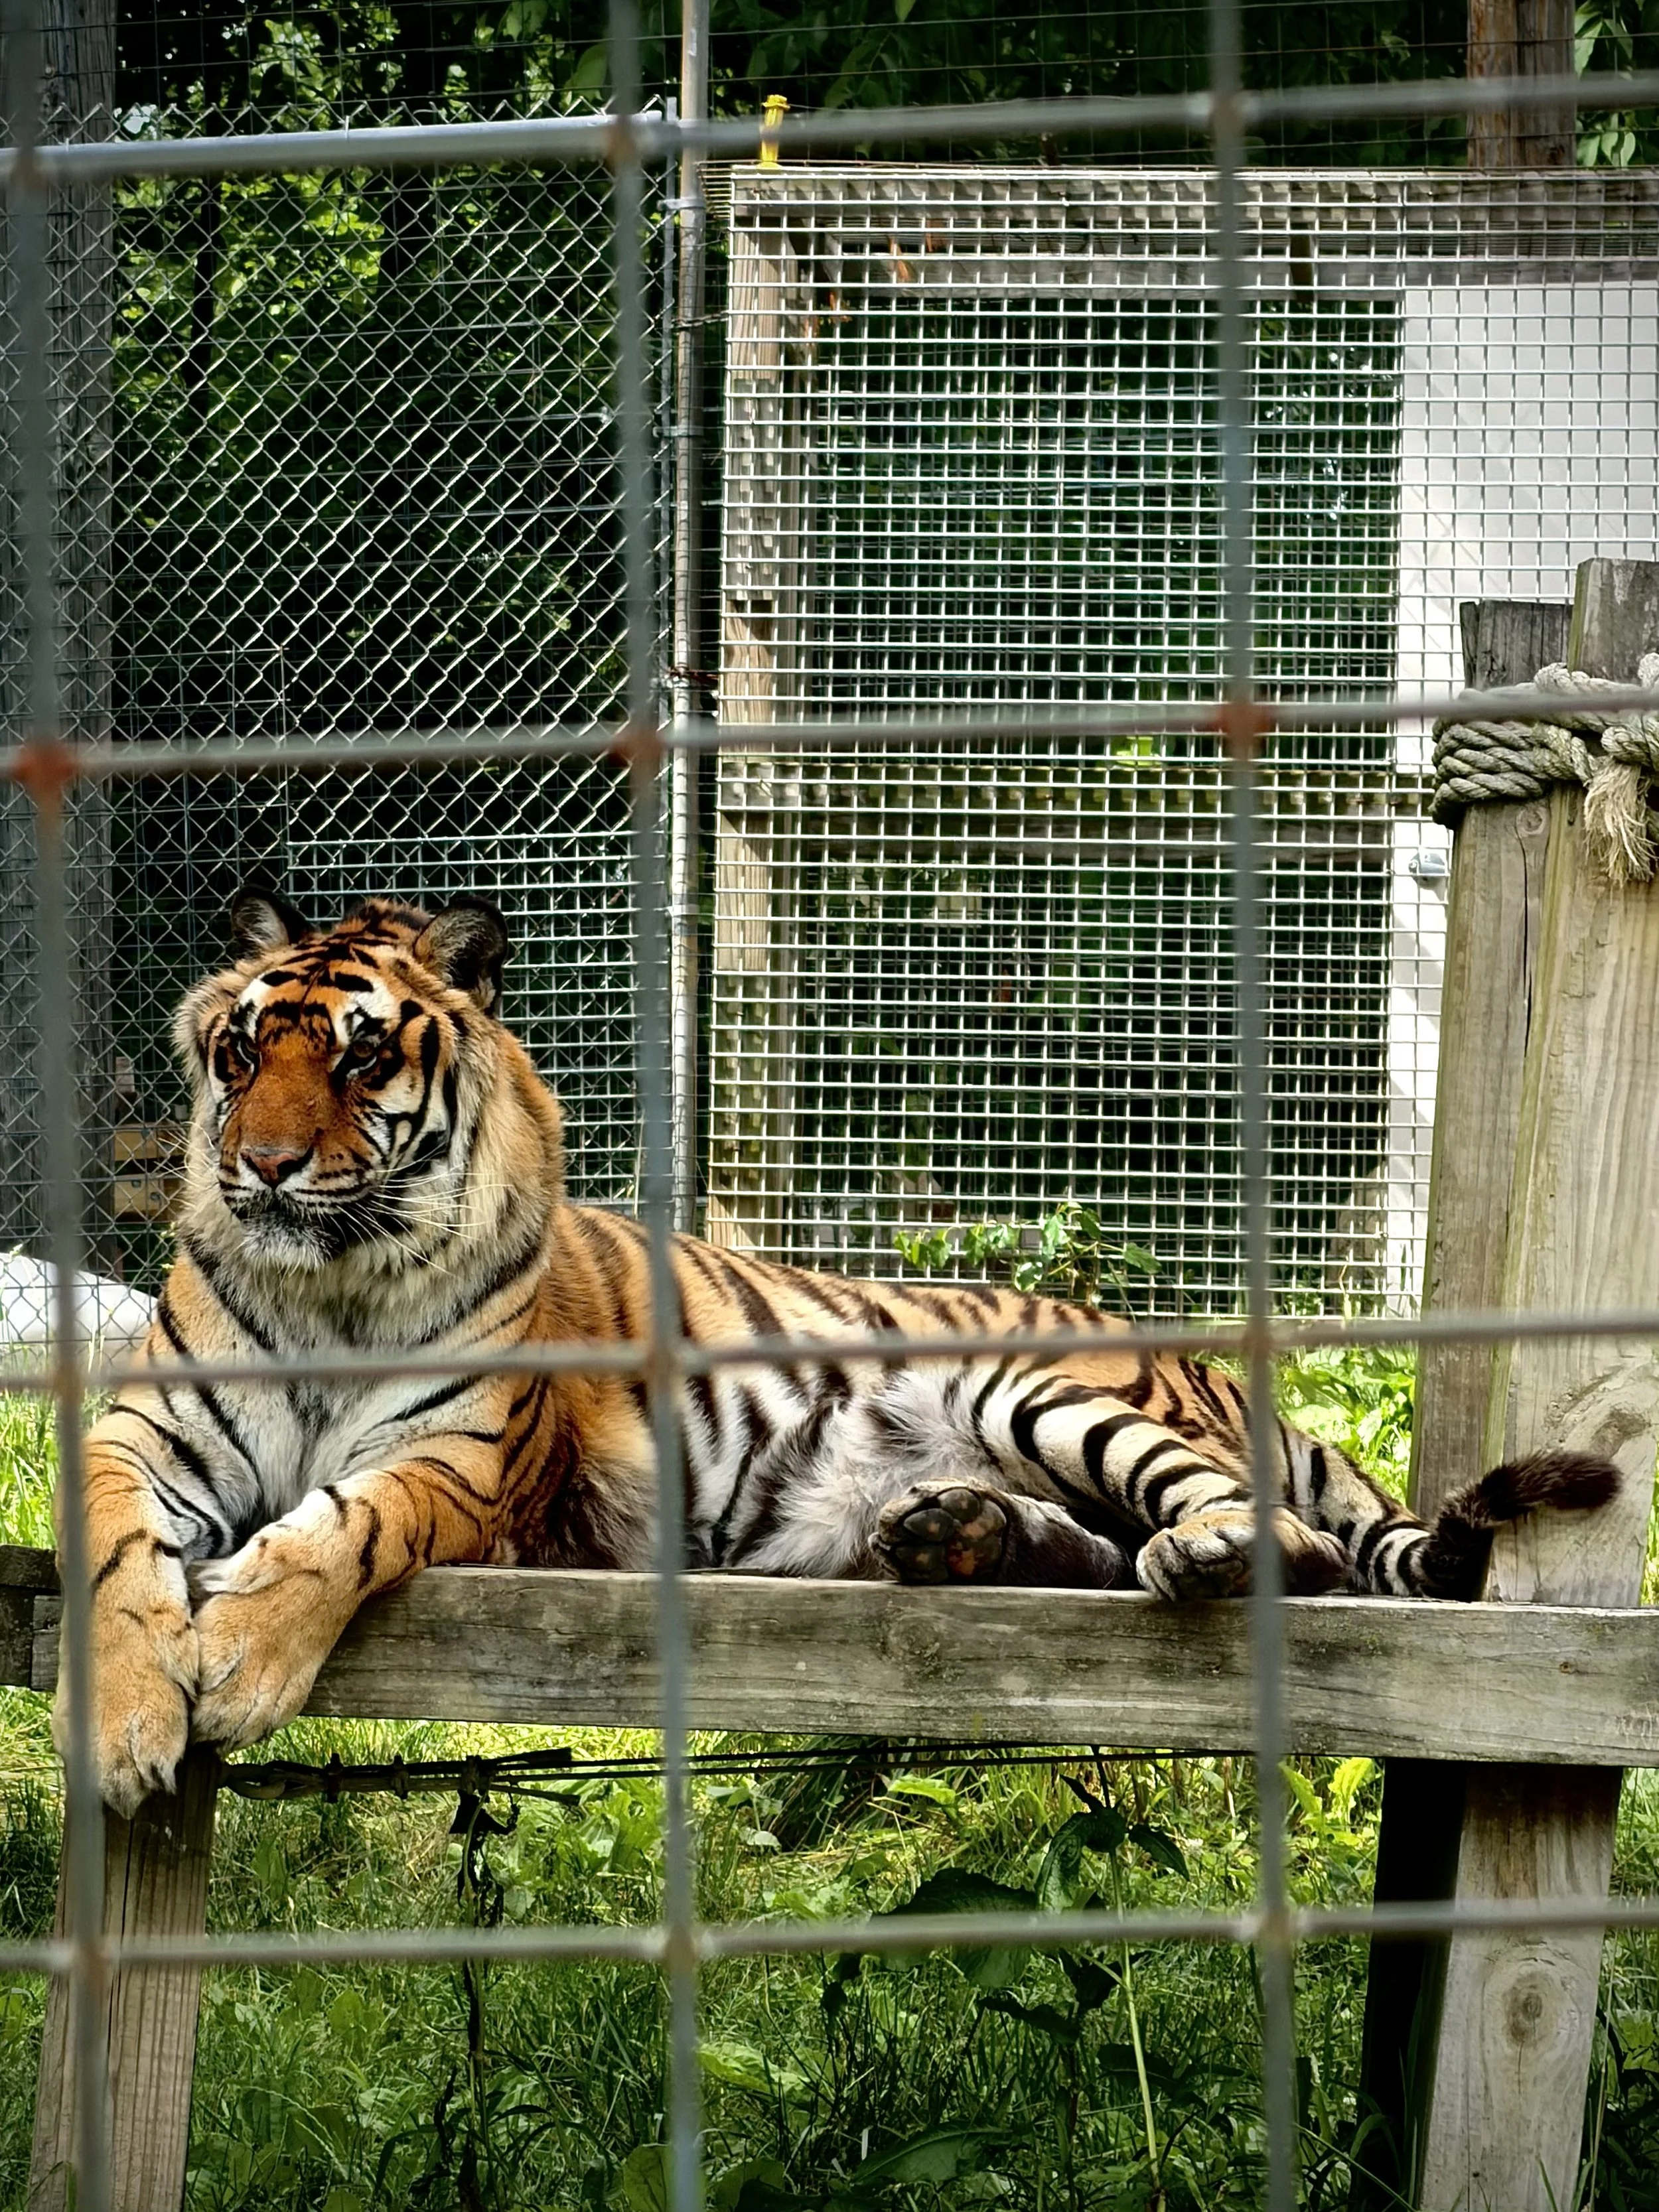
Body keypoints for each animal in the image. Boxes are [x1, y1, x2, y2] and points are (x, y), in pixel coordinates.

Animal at [60, 888, 1618, 1815]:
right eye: (243, 1051)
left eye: (362, 1057)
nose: (260, 1168)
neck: (326, 1290)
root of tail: (1228, 1372)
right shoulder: (143, 1433)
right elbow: (112, 1550)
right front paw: (127, 1724)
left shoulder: (459, 1458)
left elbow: (341, 1527)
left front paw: (238, 1661)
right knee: (1103, 1547)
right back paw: (952, 1535)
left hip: (1049, 1392)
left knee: (1270, 1536)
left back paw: (1186, 1552)